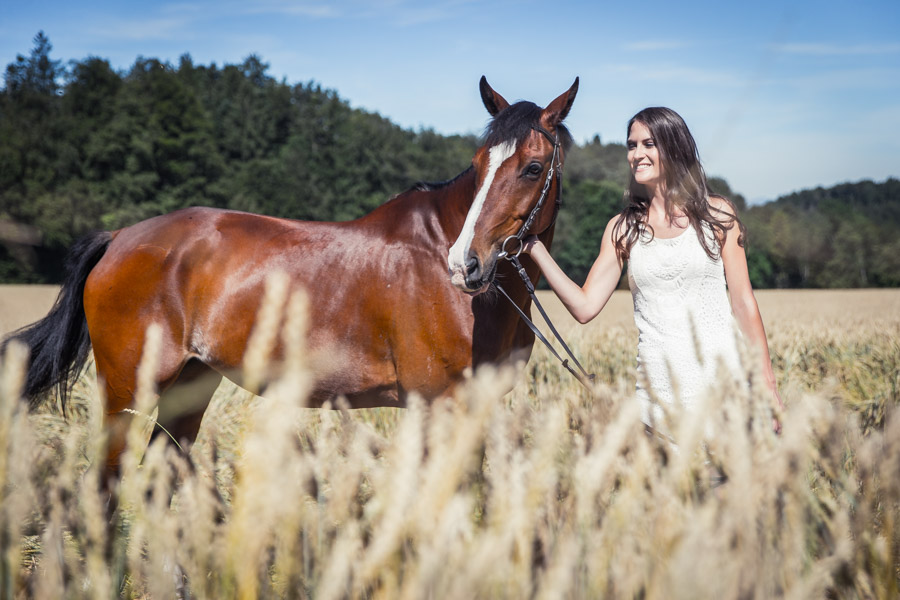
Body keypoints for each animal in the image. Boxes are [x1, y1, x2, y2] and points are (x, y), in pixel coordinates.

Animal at [3, 76, 579, 486]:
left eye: (532, 168)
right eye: (479, 164)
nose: (466, 264)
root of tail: (119, 237)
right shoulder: (434, 402)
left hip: (189, 388)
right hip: (126, 391)